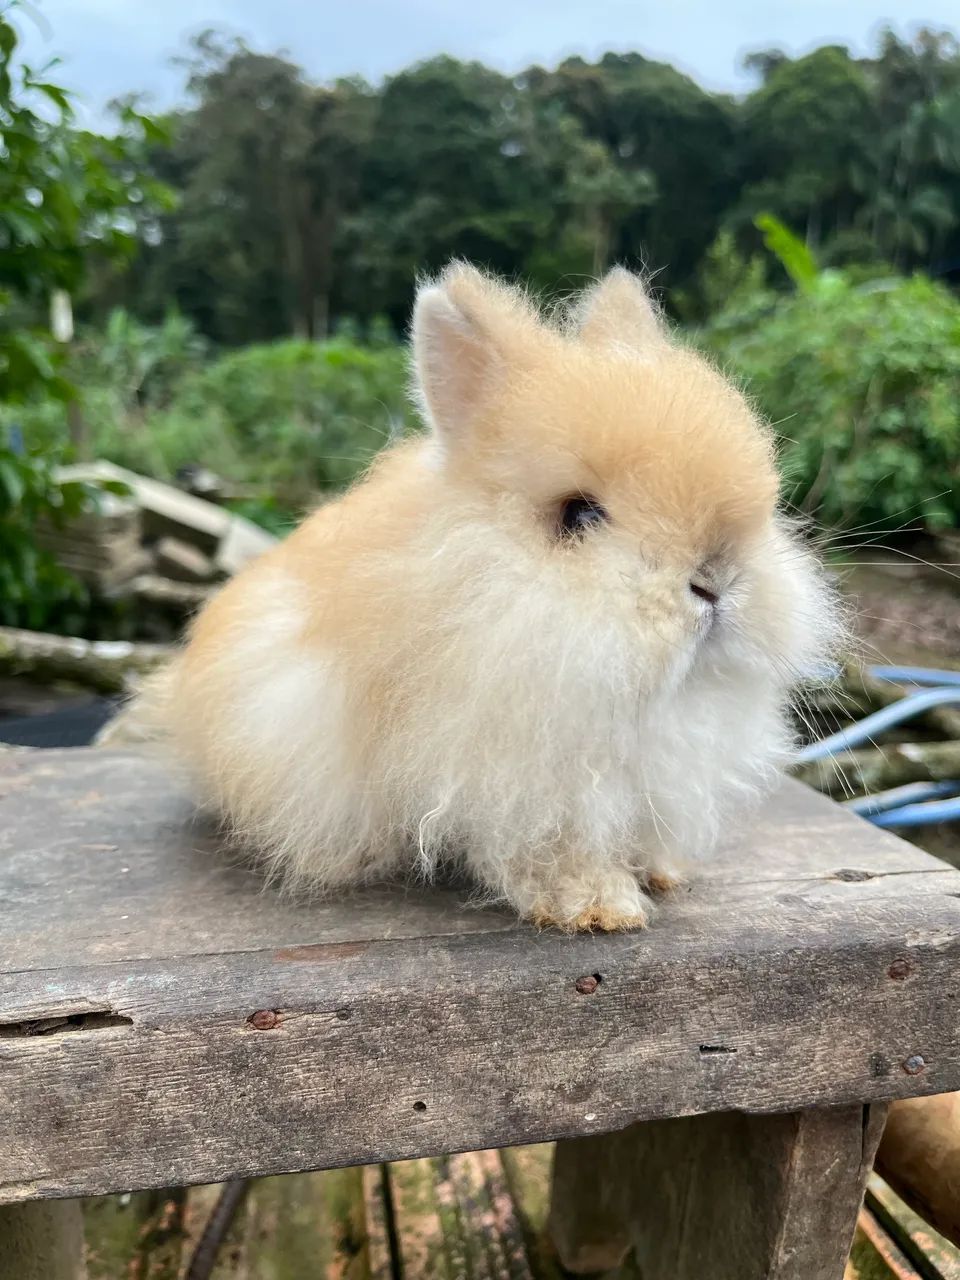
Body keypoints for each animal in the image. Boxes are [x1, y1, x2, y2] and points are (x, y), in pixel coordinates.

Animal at [147, 263, 840, 931]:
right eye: (579, 515)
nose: (716, 580)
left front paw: (664, 872)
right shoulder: (523, 786)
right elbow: (553, 853)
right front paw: (598, 908)